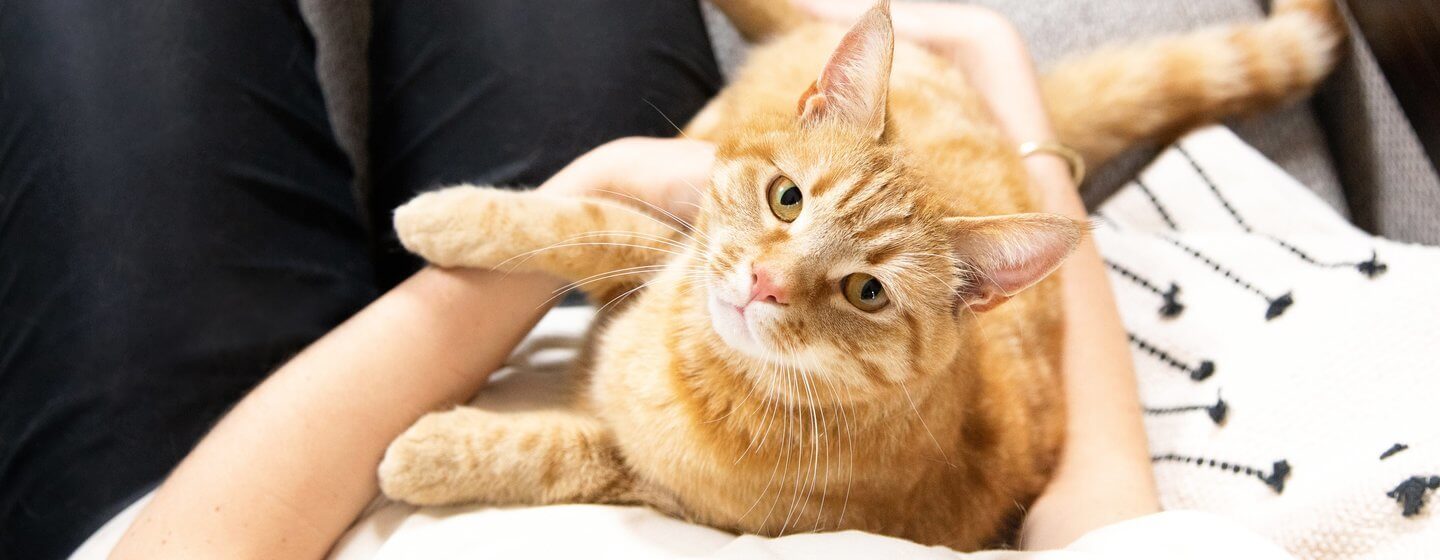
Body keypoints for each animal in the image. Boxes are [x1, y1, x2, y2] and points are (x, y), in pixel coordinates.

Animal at [377, 0, 1342, 547]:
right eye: (787, 199)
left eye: (866, 292)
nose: (764, 284)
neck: (688, 359)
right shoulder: (669, 245)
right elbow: (587, 223)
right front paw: (451, 216)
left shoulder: (673, 495)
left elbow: (555, 450)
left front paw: (429, 454)